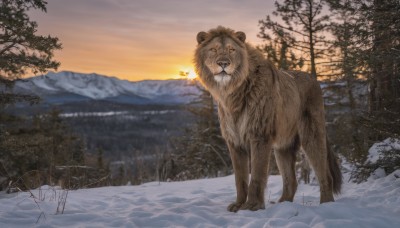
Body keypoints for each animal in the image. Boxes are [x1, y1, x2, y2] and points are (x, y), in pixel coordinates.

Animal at [194, 26, 340, 212]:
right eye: (213, 50)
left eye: (231, 50)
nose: (223, 63)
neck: (232, 93)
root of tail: (314, 79)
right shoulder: (234, 141)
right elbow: (240, 179)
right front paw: (238, 205)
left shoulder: (260, 134)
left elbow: (257, 175)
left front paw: (251, 206)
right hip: (283, 146)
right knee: (291, 181)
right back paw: (283, 205)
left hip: (312, 135)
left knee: (324, 173)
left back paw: (326, 205)